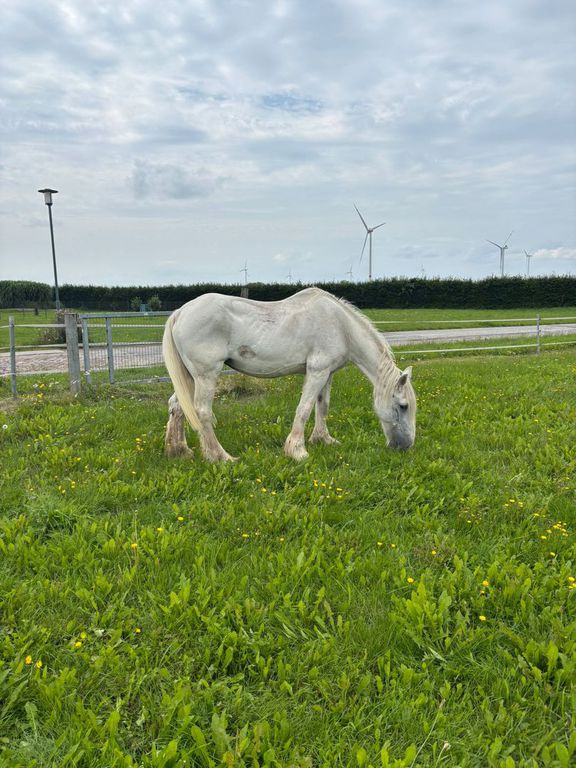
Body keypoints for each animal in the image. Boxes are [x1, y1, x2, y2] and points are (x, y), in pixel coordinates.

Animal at [162, 287, 416, 461]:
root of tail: (181, 312)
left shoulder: (327, 373)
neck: (341, 326)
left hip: (189, 378)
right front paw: (297, 451)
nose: (406, 446)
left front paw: (323, 439)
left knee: (177, 406)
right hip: (206, 376)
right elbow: (304, 409)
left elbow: (322, 406)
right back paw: (220, 457)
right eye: (403, 406)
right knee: (202, 412)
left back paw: (179, 450)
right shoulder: (316, 371)